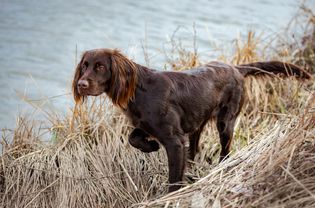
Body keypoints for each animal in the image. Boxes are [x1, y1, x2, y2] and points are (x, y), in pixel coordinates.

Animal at [73, 48, 312, 192]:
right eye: (84, 65)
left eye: (100, 67)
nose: (81, 84)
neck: (140, 90)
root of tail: (235, 68)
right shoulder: (147, 126)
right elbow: (133, 138)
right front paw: (150, 146)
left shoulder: (174, 141)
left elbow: (173, 178)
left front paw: (169, 196)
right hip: (198, 123)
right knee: (195, 148)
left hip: (225, 122)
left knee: (225, 151)